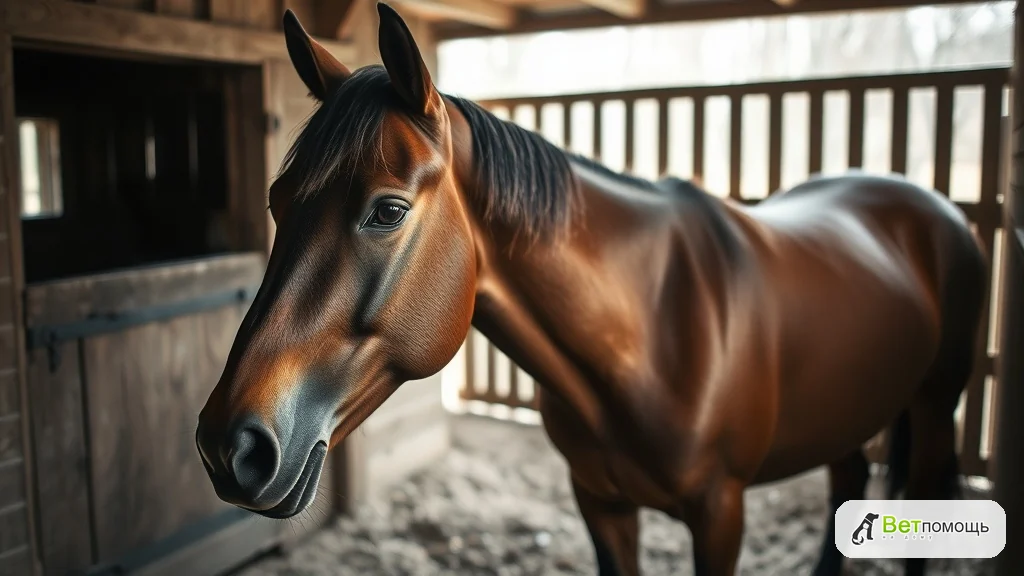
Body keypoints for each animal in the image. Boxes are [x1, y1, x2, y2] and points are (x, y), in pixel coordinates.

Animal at [195, 5, 988, 575]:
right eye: (278, 201)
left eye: (387, 211)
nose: (230, 446)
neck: (646, 331)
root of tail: (935, 207)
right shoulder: (601, 506)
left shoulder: (721, 514)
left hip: (935, 410)